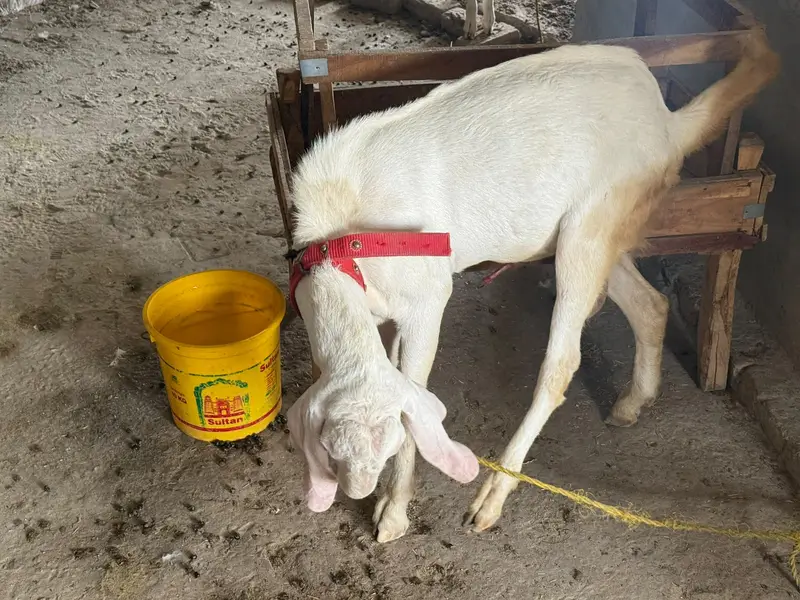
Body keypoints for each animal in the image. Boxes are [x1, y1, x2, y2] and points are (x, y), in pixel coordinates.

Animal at [285, 33, 780, 543]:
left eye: (385, 440)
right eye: (330, 448)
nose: (359, 489)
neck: (343, 241)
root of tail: (666, 121)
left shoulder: (427, 295)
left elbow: (415, 389)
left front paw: (393, 514)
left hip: (593, 220)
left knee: (562, 362)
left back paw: (490, 499)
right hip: (601, 228)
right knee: (651, 303)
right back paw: (631, 402)